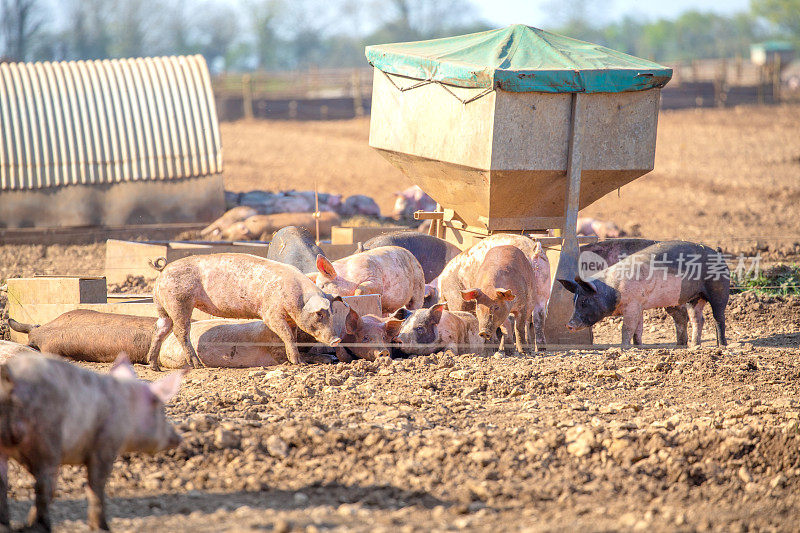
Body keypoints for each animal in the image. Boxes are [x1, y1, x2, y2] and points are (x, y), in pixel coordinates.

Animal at [0, 342, 183, 528]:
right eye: (160, 411)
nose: (178, 438)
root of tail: (11, 380)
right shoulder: (106, 445)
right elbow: (96, 485)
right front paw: (101, 527)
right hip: (48, 437)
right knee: (44, 485)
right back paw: (37, 525)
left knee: (4, 484)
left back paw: (7, 525)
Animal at [560, 240, 728, 348]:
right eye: (573, 301)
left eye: (584, 302)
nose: (568, 324)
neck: (612, 290)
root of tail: (719, 255)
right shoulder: (639, 306)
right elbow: (638, 329)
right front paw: (638, 346)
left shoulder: (632, 305)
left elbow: (627, 328)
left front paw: (623, 347)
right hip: (694, 298)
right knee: (697, 319)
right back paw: (694, 346)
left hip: (719, 290)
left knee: (718, 318)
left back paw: (722, 345)